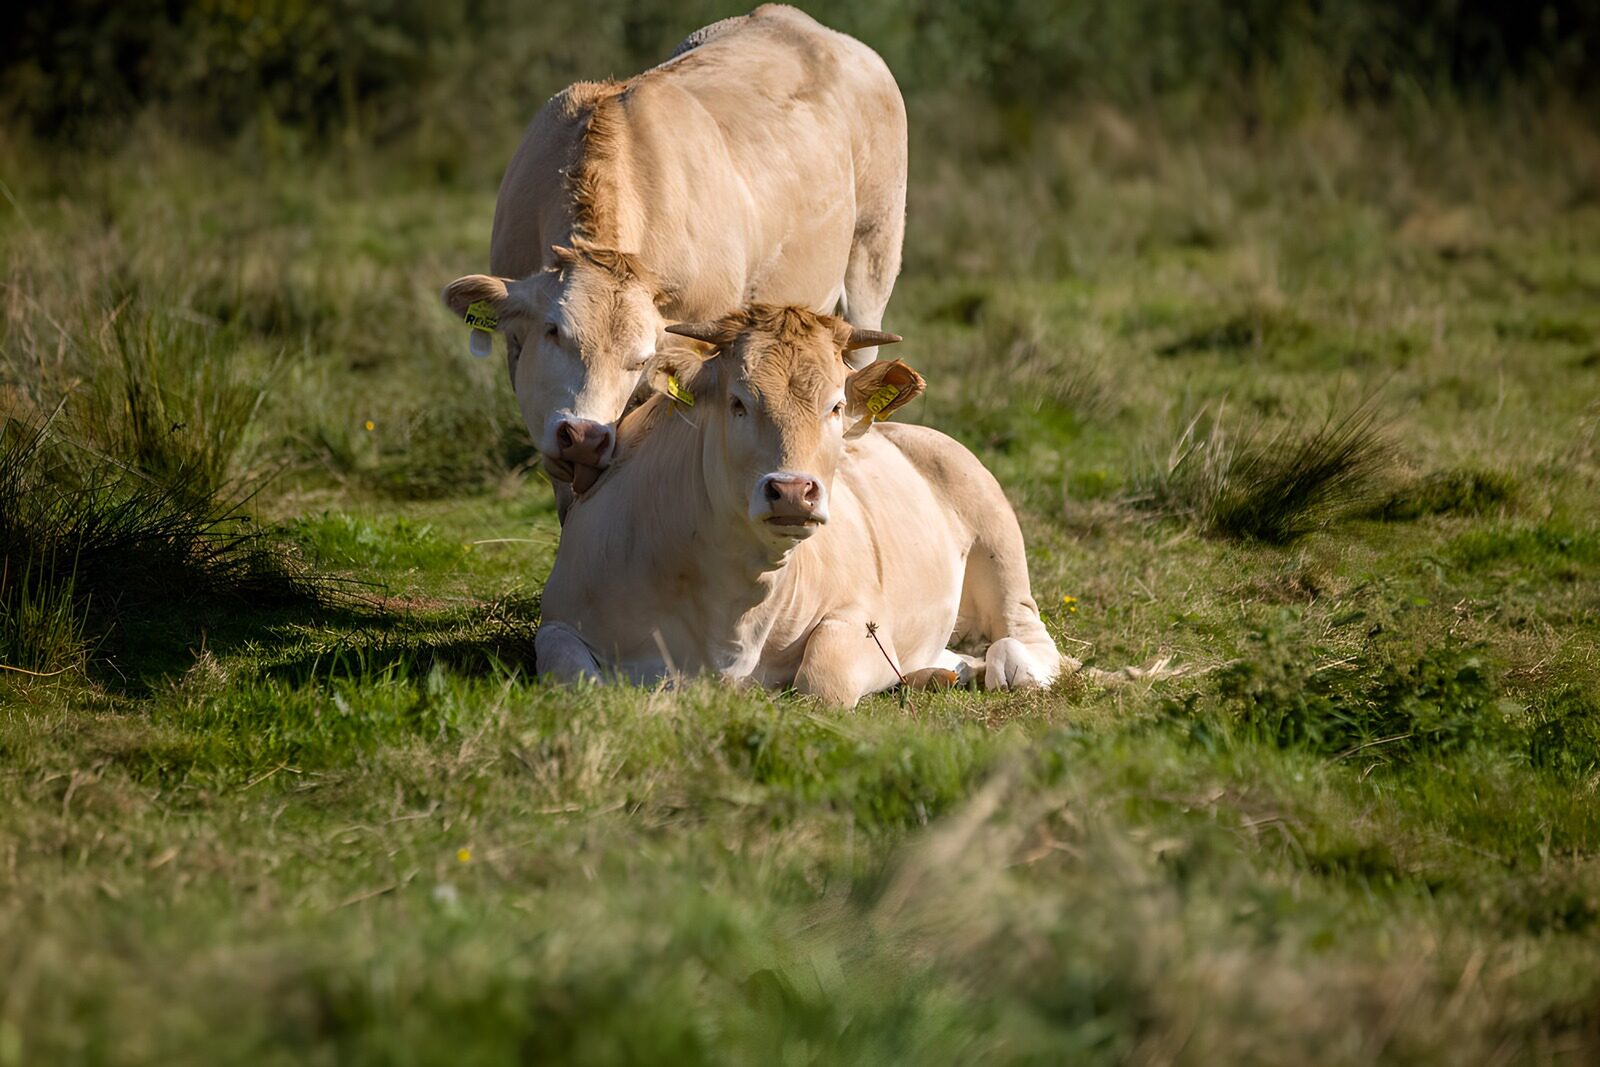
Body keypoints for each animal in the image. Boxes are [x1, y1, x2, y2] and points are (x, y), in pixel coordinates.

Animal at [534, 306, 1070, 707]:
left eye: (835, 406)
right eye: (738, 402)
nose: (793, 491)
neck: (733, 605)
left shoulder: (859, 617)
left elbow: (822, 681)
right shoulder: (560, 619)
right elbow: (579, 680)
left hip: (998, 539)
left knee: (1022, 641)